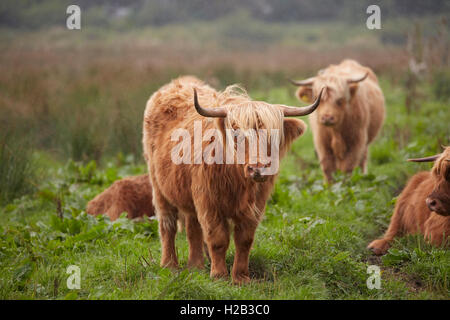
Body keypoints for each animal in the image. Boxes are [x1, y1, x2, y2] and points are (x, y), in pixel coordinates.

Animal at [142, 76, 322, 284]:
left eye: (273, 135)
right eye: (237, 134)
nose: (259, 168)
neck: (238, 181)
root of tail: (179, 82)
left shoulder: (255, 205)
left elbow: (244, 240)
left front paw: (241, 277)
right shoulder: (209, 202)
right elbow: (218, 239)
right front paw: (219, 275)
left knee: (192, 227)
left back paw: (196, 266)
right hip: (159, 187)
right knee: (167, 225)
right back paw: (169, 265)